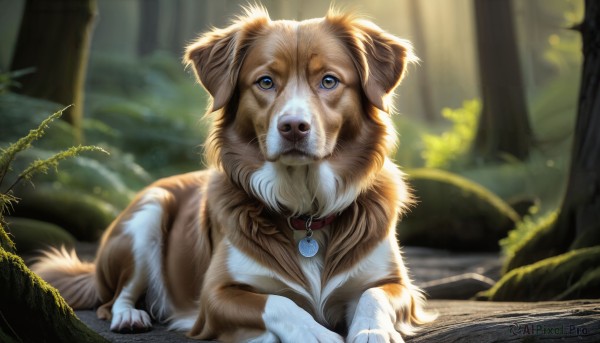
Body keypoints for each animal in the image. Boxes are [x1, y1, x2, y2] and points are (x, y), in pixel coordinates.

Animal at [32, 6, 434, 343]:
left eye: (330, 81)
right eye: (266, 82)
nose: (293, 127)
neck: (305, 211)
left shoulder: (398, 284)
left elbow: (373, 296)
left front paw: (372, 332)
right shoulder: (217, 295)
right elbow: (279, 303)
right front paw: (316, 333)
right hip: (148, 212)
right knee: (114, 298)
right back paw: (131, 316)